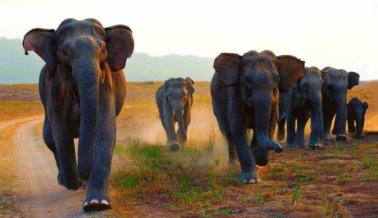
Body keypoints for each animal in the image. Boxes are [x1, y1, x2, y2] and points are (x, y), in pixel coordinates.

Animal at [22, 17, 134, 212]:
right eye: (64, 52)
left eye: (103, 50)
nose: (84, 176)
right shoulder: (54, 89)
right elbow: (61, 134)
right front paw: (75, 183)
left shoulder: (105, 84)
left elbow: (104, 132)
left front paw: (96, 204)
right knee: (50, 139)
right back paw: (64, 180)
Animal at [211, 50, 306, 183]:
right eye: (246, 80)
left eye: (277, 80)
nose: (280, 148)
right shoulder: (235, 91)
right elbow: (238, 127)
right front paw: (250, 180)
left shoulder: (275, 99)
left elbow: (270, 124)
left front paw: (257, 158)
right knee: (227, 132)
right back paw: (233, 165)